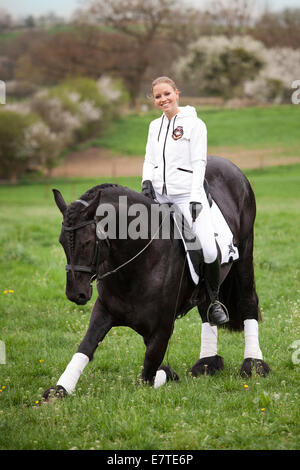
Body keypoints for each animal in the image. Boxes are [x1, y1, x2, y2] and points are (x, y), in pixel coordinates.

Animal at [43, 156, 270, 398]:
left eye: (87, 242)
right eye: (61, 241)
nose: (75, 293)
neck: (135, 264)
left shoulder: (161, 329)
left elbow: (148, 377)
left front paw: (168, 374)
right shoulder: (104, 311)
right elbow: (86, 346)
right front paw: (59, 389)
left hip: (245, 250)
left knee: (247, 300)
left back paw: (253, 365)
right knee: (206, 308)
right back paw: (207, 363)